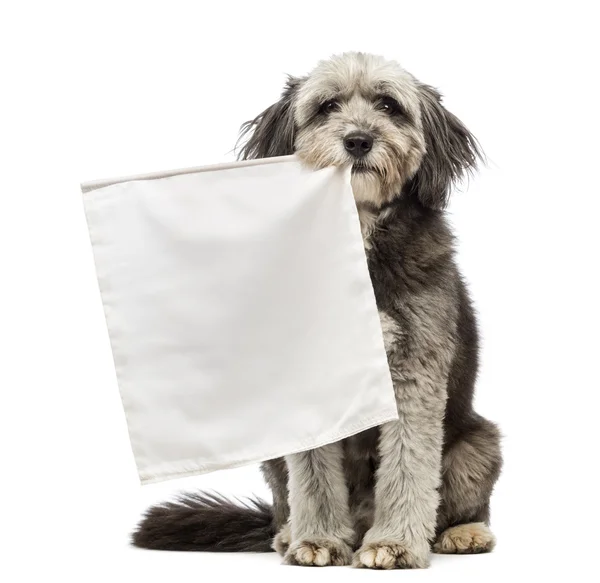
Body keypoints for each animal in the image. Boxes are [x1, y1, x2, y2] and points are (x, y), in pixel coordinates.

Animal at [131, 52, 502, 568]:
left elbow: (408, 463)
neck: (355, 237)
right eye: (327, 107)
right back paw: (290, 533)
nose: (358, 140)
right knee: (283, 505)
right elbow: (313, 472)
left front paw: (394, 544)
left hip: (478, 444)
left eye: (389, 105)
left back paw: (462, 532)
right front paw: (320, 539)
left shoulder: (413, 371)